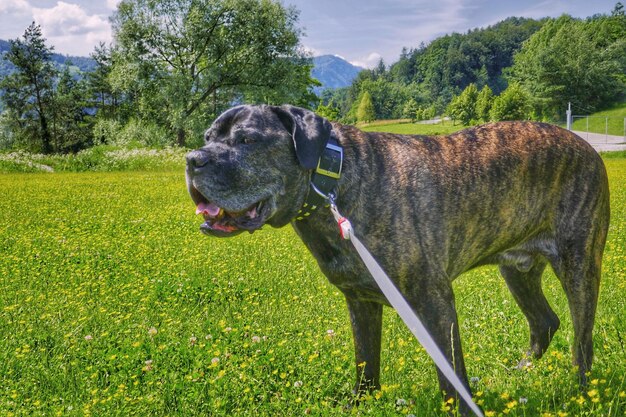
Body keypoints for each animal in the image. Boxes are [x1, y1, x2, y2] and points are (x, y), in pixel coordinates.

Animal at [183, 105, 608, 412]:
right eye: (208, 137)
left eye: (247, 139)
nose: (192, 159)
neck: (332, 184)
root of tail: (588, 147)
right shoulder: (361, 300)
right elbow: (366, 360)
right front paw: (360, 404)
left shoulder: (433, 301)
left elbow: (451, 374)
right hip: (517, 269)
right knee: (545, 322)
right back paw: (520, 373)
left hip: (580, 264)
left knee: (581, 342)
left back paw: (581, 394)